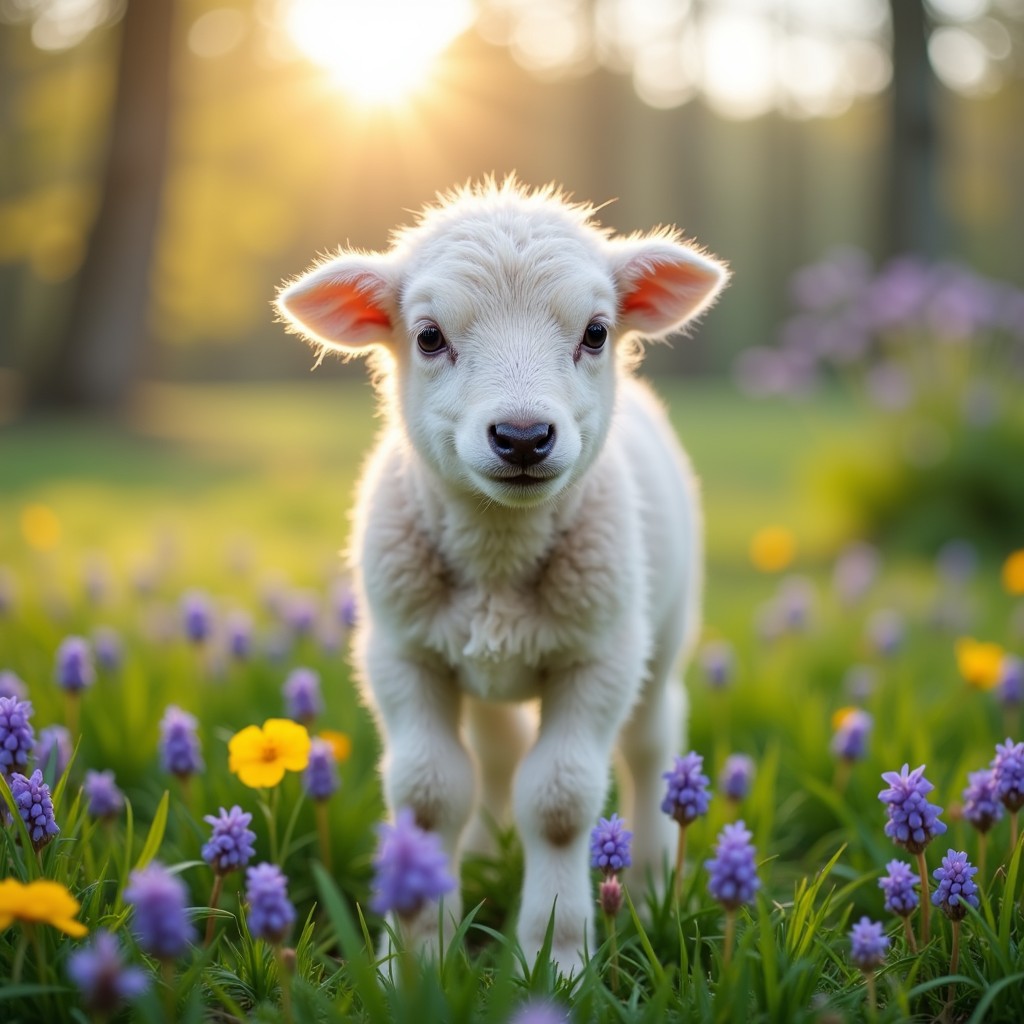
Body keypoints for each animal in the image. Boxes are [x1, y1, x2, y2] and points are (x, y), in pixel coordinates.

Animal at [276, 177, 729, 974]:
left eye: (596, 332)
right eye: (428, 336)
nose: (522, 437)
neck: (498, 553)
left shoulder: (599, 658)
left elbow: (559, 802)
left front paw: (558, 955)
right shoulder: (403, 653)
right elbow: (429, 792)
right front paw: (417, 956)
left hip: (662, 632)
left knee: (649, 747)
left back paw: (650, 886)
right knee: (494, 754)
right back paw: (485, 855)